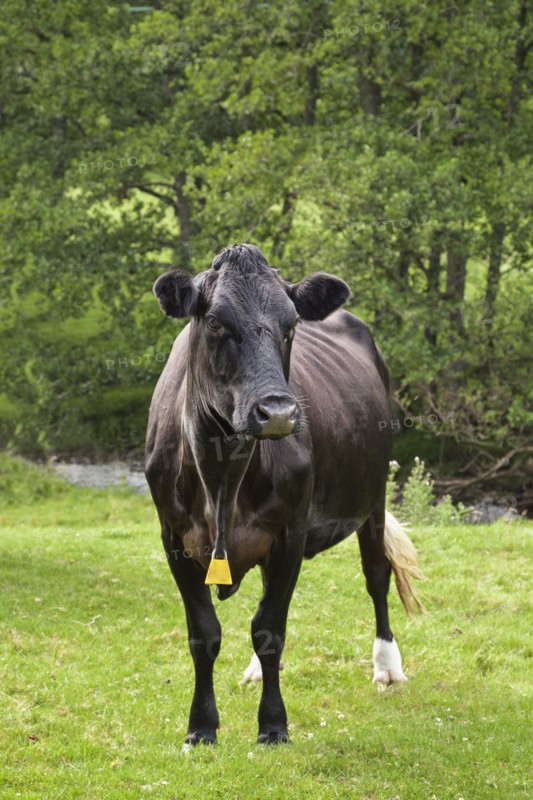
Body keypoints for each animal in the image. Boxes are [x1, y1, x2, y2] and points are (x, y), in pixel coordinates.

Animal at [145, 243, 423, 747]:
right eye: (215, 322)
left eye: (291, 324)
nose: (277, 411)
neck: (222, 474)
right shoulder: (172, 535)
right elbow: (204, 633)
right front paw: (201, 727)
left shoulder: (290, 531)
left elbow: (269, 629)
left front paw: (273, 725)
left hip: (373, 496)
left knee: (376, 575)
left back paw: (387, 665)